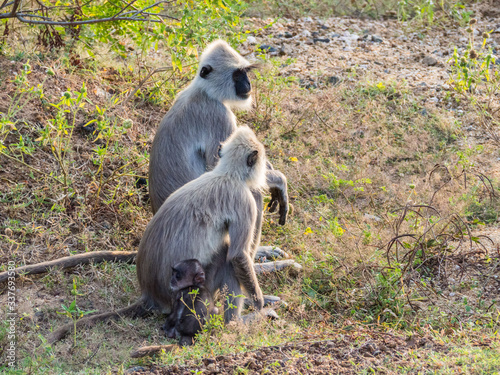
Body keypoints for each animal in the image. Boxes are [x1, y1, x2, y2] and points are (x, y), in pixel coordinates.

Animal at [137, 127, 268, 324]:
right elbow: (238, 255)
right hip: (195, 291)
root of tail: (152, 295)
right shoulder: (245, 201)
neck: (226, 174)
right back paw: (235, 323)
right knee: (227, 259)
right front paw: (258, 303)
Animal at [148, 39, 290, 262]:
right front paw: (279, 180)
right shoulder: (218, 114)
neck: (203, 91)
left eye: (245, 73)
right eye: (237, 75)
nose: (248, 85)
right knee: (252, 194)